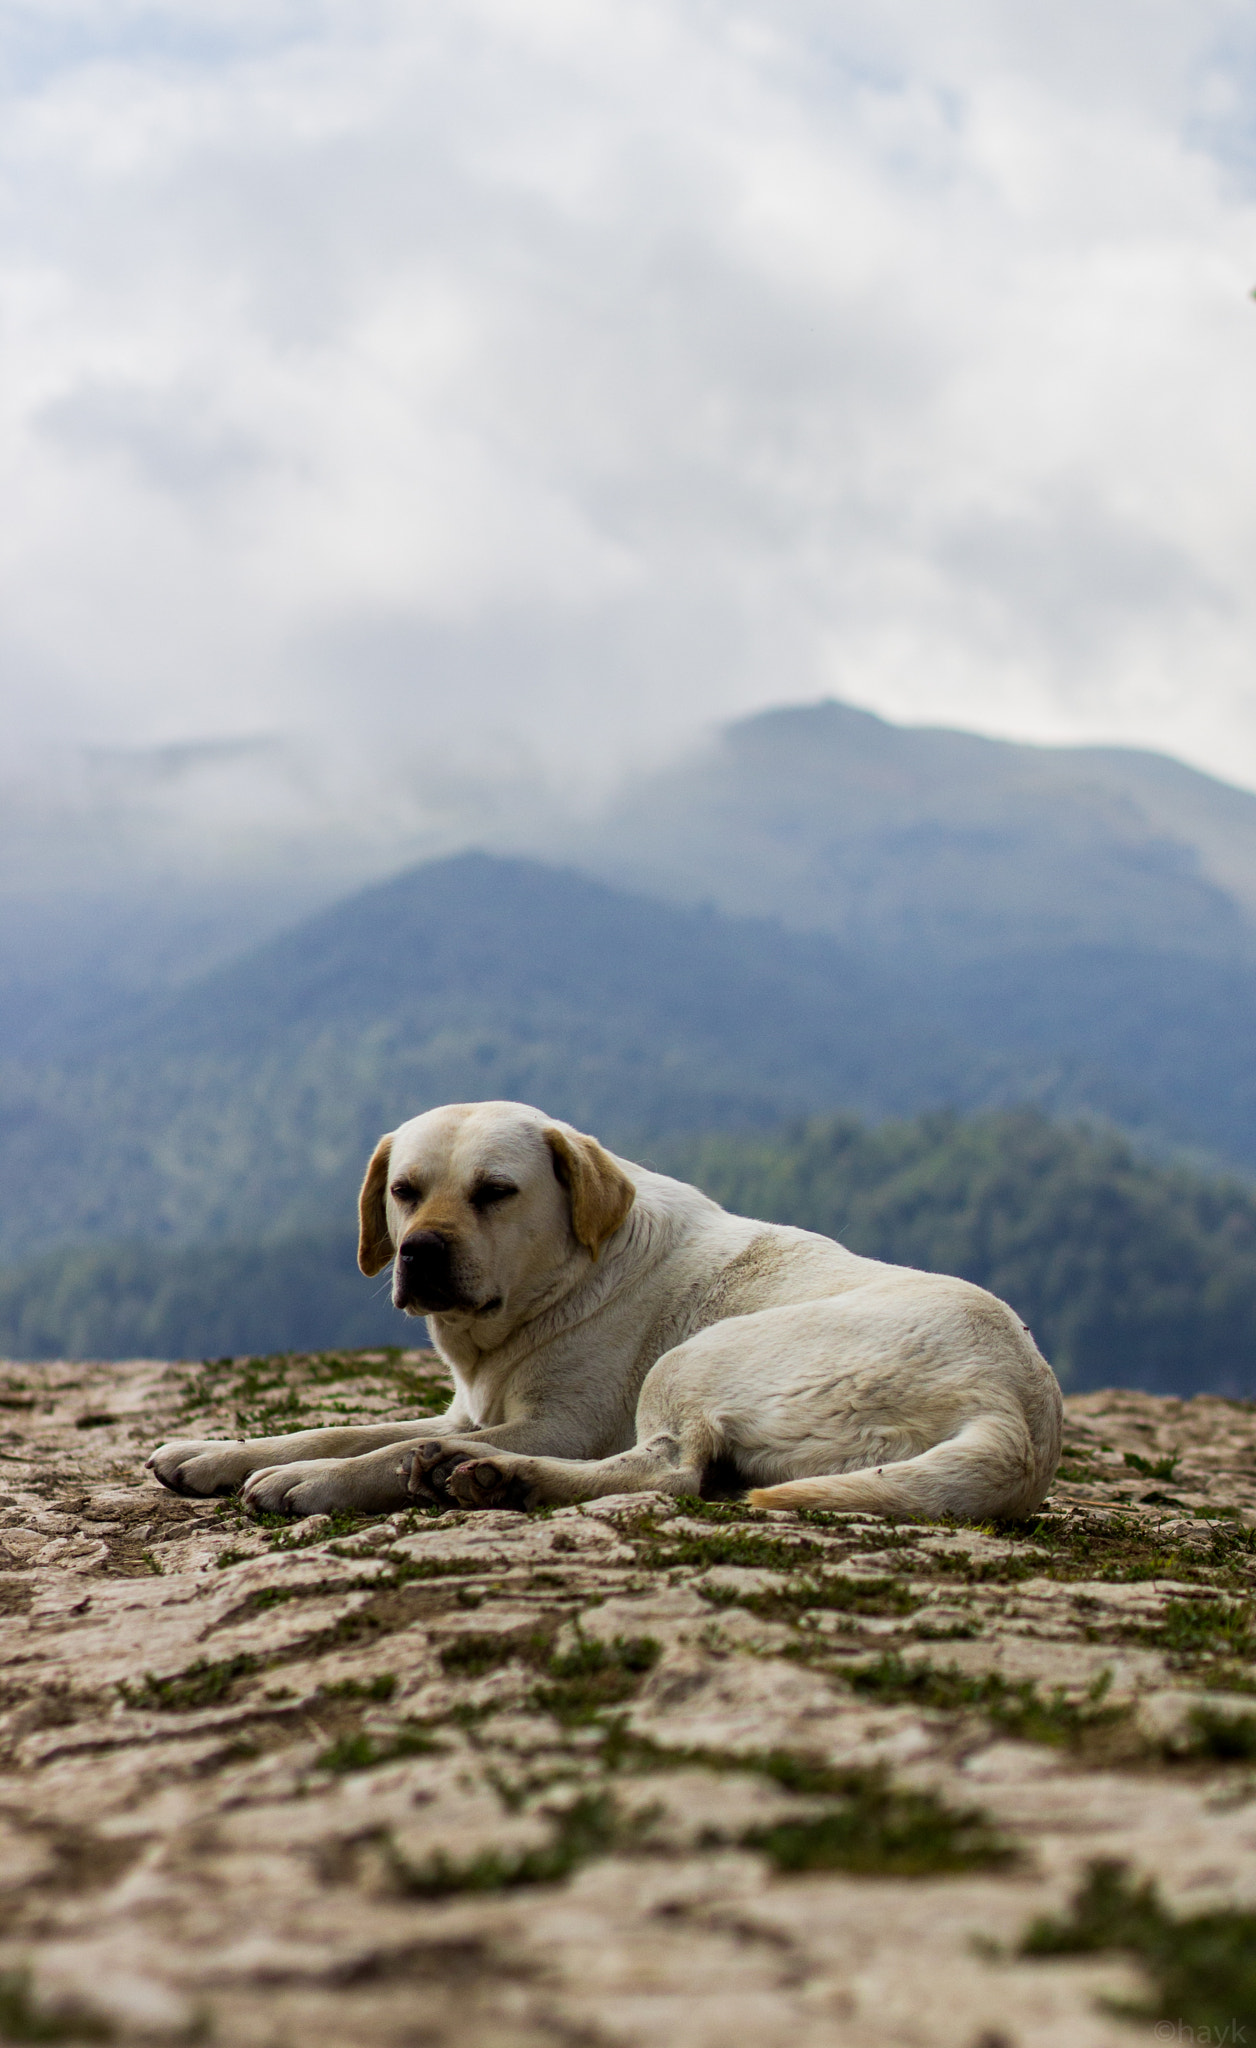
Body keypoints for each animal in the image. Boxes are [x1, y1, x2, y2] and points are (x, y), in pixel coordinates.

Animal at [151, 1105, 1065, 1523]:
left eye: (496, 1191)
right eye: (405, 1190)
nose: (420, 1252)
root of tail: (1014, 1410)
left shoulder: (564, 1424)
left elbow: (381, 1449)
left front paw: (314, 1482)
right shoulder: (463, 1409)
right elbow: (339, 1428)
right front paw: (215, 1452)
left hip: (694, 1359)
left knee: (670, 1471)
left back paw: (495, 1477)